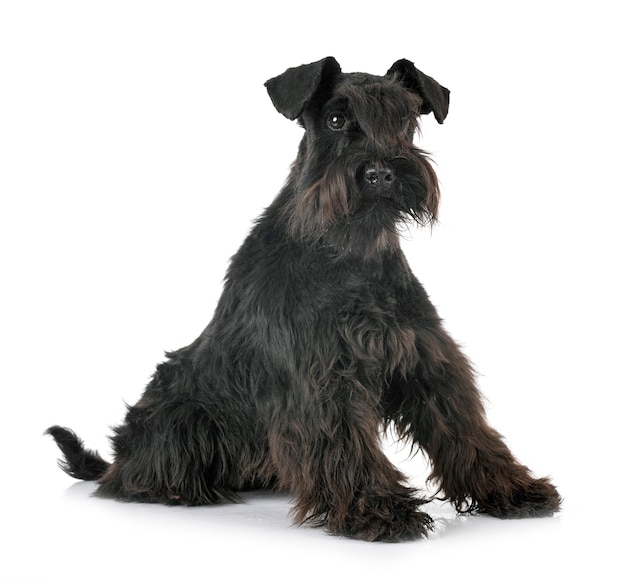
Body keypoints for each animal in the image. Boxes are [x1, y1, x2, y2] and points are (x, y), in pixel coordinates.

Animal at [46, 56, 560, 540]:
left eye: (406, 119)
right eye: (335, 119)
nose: (380, 173)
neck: (350, 252)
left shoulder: (425, 358)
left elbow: (465, 430)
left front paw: (513, 489)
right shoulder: (321, 374)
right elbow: (345, 443)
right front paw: (379, 509)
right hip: (181, 415)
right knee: (136, 474)